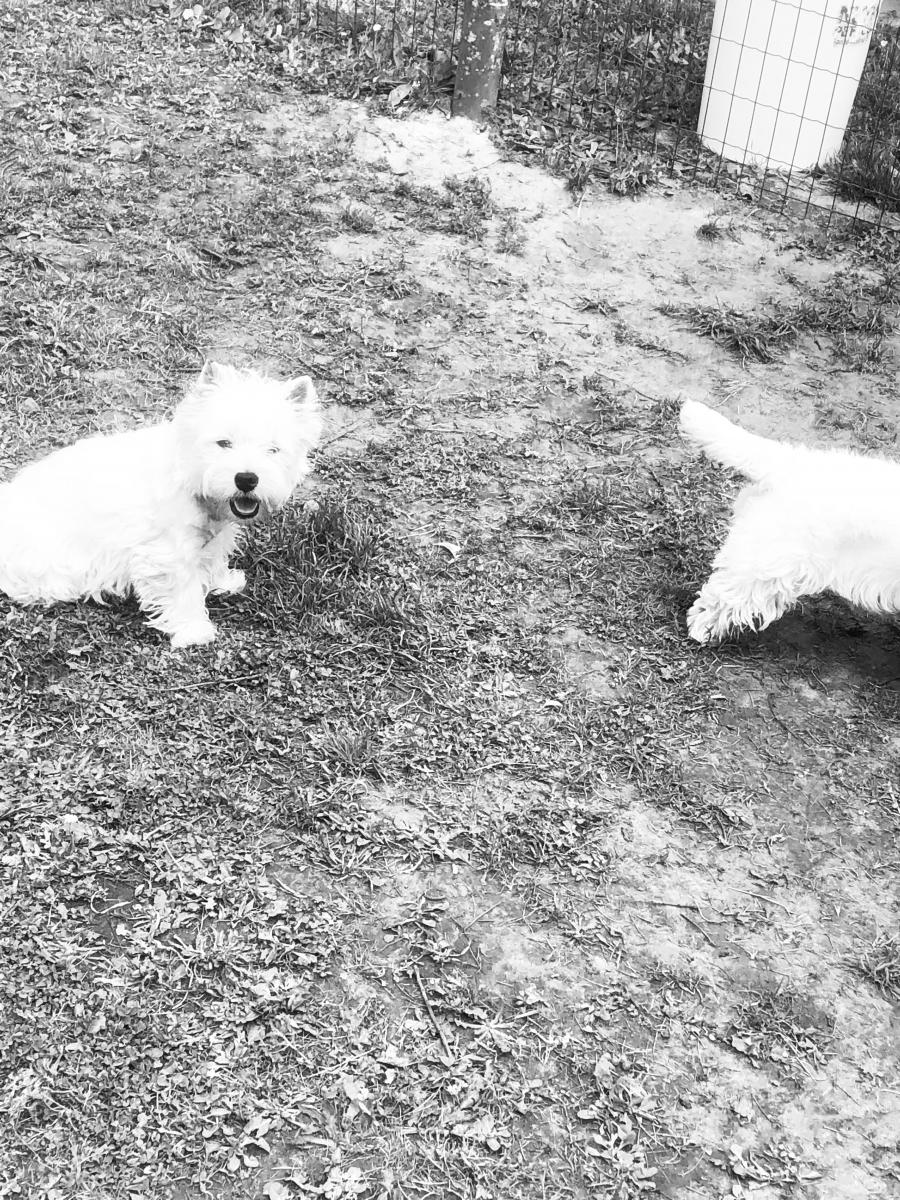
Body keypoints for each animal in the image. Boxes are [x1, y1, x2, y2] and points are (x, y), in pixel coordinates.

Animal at [0, 360, 321, 648]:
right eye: (223, 443)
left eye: (273, 449)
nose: (246, 479)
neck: (192, 480)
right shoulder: (169, 551)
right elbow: (184, 588)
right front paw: (194, 631)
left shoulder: (212, 537)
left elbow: (214, 558)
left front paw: (223, 582)